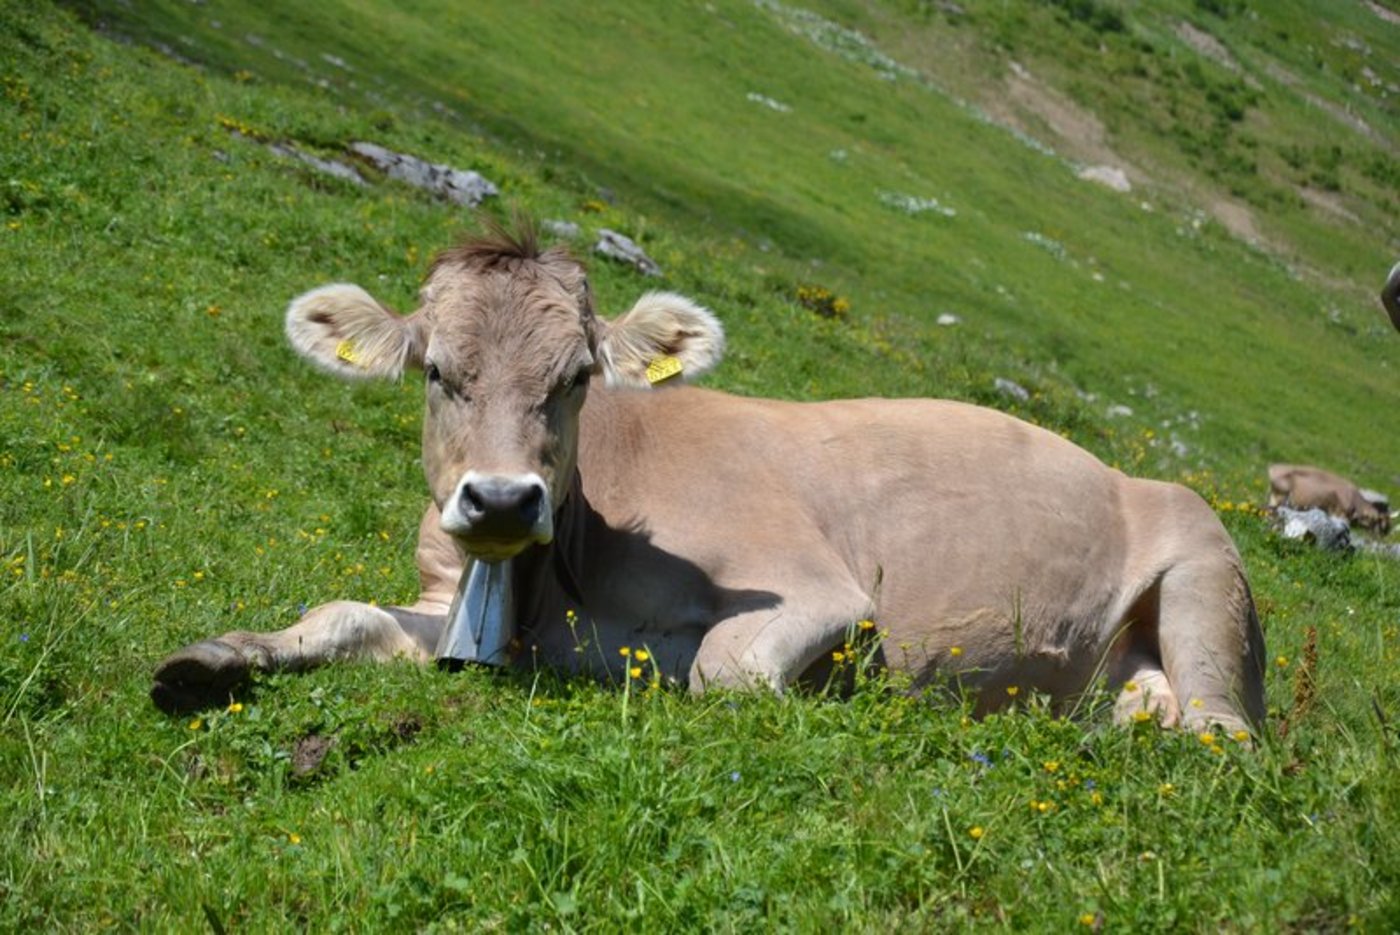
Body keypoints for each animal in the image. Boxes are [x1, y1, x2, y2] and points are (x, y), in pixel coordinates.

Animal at [152, 222, 1266, 734]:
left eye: (574, 377)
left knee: (1221, 732)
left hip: (1203, 570)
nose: (503, 497)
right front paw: (209, 659)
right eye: (436, 369)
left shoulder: (817, 589)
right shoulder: (452, 604)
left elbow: (722, 671)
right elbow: (338, 613)